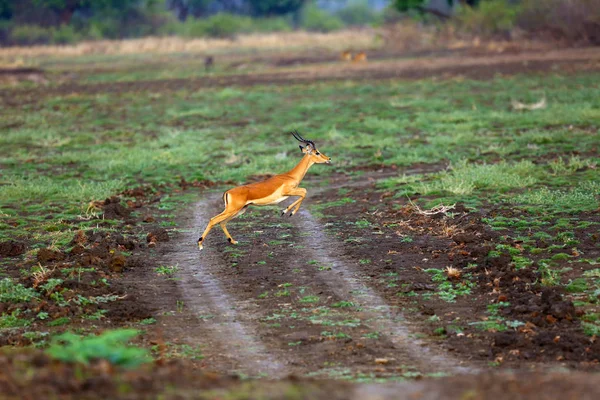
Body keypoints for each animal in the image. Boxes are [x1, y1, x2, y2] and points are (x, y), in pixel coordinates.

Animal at [197, 131, 330, 250]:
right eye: (317, 152)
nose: (328, 158)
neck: (290, 176)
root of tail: (228, 192)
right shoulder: (287, 192)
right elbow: (304, 192)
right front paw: (286, 211)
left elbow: (303, 193)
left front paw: (287, 211)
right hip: (233, 210)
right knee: (213, 220)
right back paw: (200, 245)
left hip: (240, 210)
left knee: (222, 222)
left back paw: (233, 241)